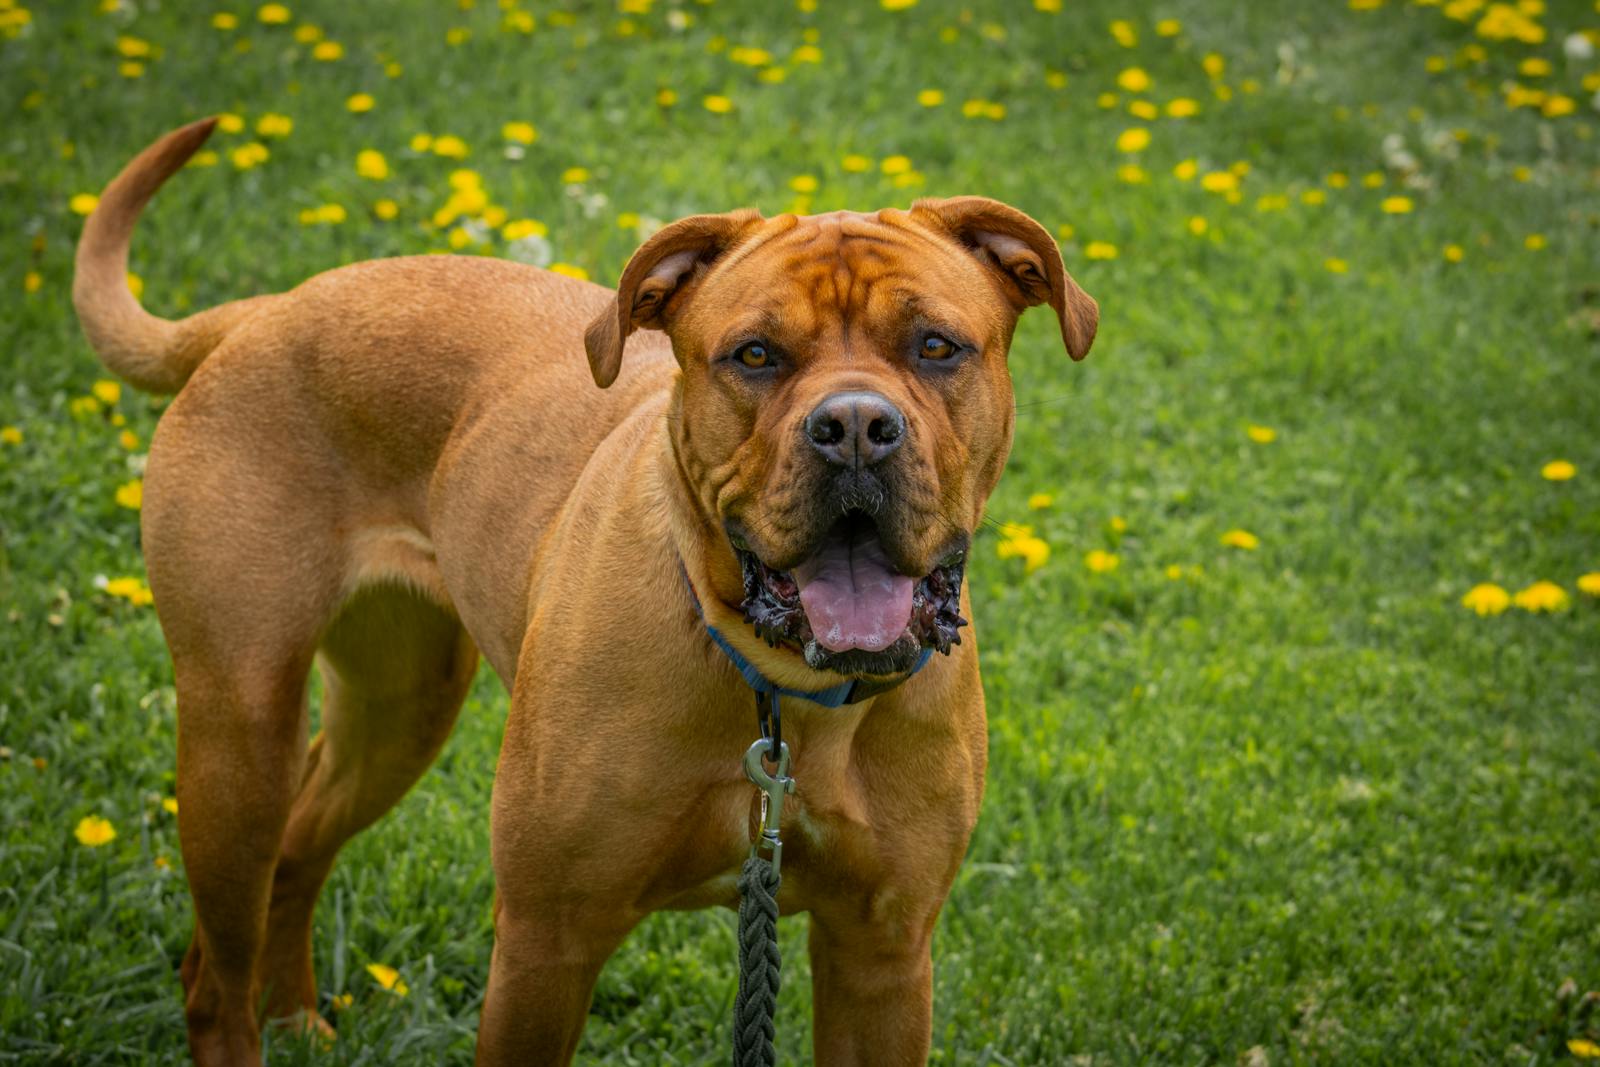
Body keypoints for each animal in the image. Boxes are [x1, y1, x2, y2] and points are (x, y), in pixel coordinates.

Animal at [75, 120, 1100, 1062]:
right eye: (755, 355)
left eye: (936, 346)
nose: (853, 427)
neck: (785, 694)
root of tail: (263, 310)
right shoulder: (547, 943)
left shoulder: (880, 953)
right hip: (238, 735)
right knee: (217, 971)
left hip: (397, 709)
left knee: (298, 853)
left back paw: (296, 1018)